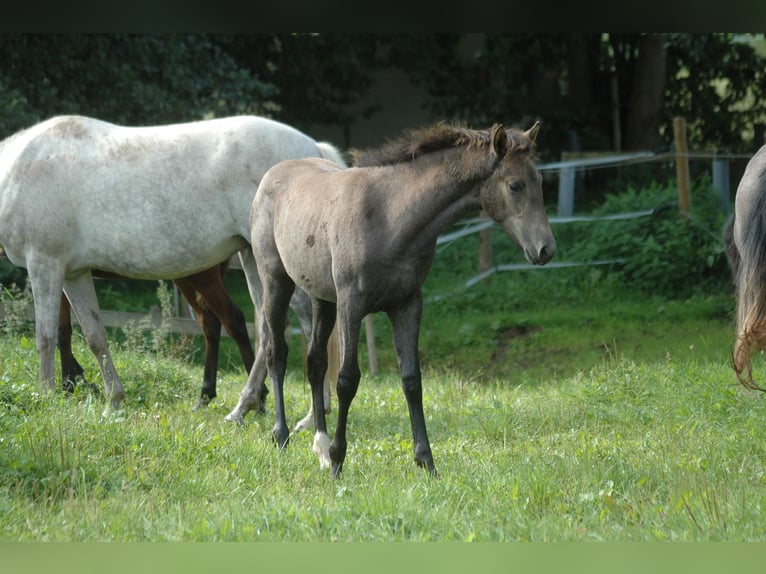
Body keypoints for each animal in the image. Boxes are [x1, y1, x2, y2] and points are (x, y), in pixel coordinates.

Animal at [0, 114, 344, 421]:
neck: (18, 170)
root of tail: (313, 149)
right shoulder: (74, 274)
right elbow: (94, 336)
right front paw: (113, 401)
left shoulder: (44, 264)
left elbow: (46, 336)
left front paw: (47, 399)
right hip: (252, 258)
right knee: (266, 329)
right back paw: (244, 409)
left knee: (302, 327)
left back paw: (308, 415)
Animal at [231, 121, 555, 477]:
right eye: (515, 185)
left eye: (540, 181)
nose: (545, 249)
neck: (389, 217)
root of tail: (271, 175)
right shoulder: (352, 304)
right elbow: (347, 380)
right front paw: (339, 460)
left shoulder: (407, 304)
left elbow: (411, 380)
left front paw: (426, 461)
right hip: (276, 281)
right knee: (276, 352)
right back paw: (282, 435)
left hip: (321, 298)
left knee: (315, 362)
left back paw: (320, 446)